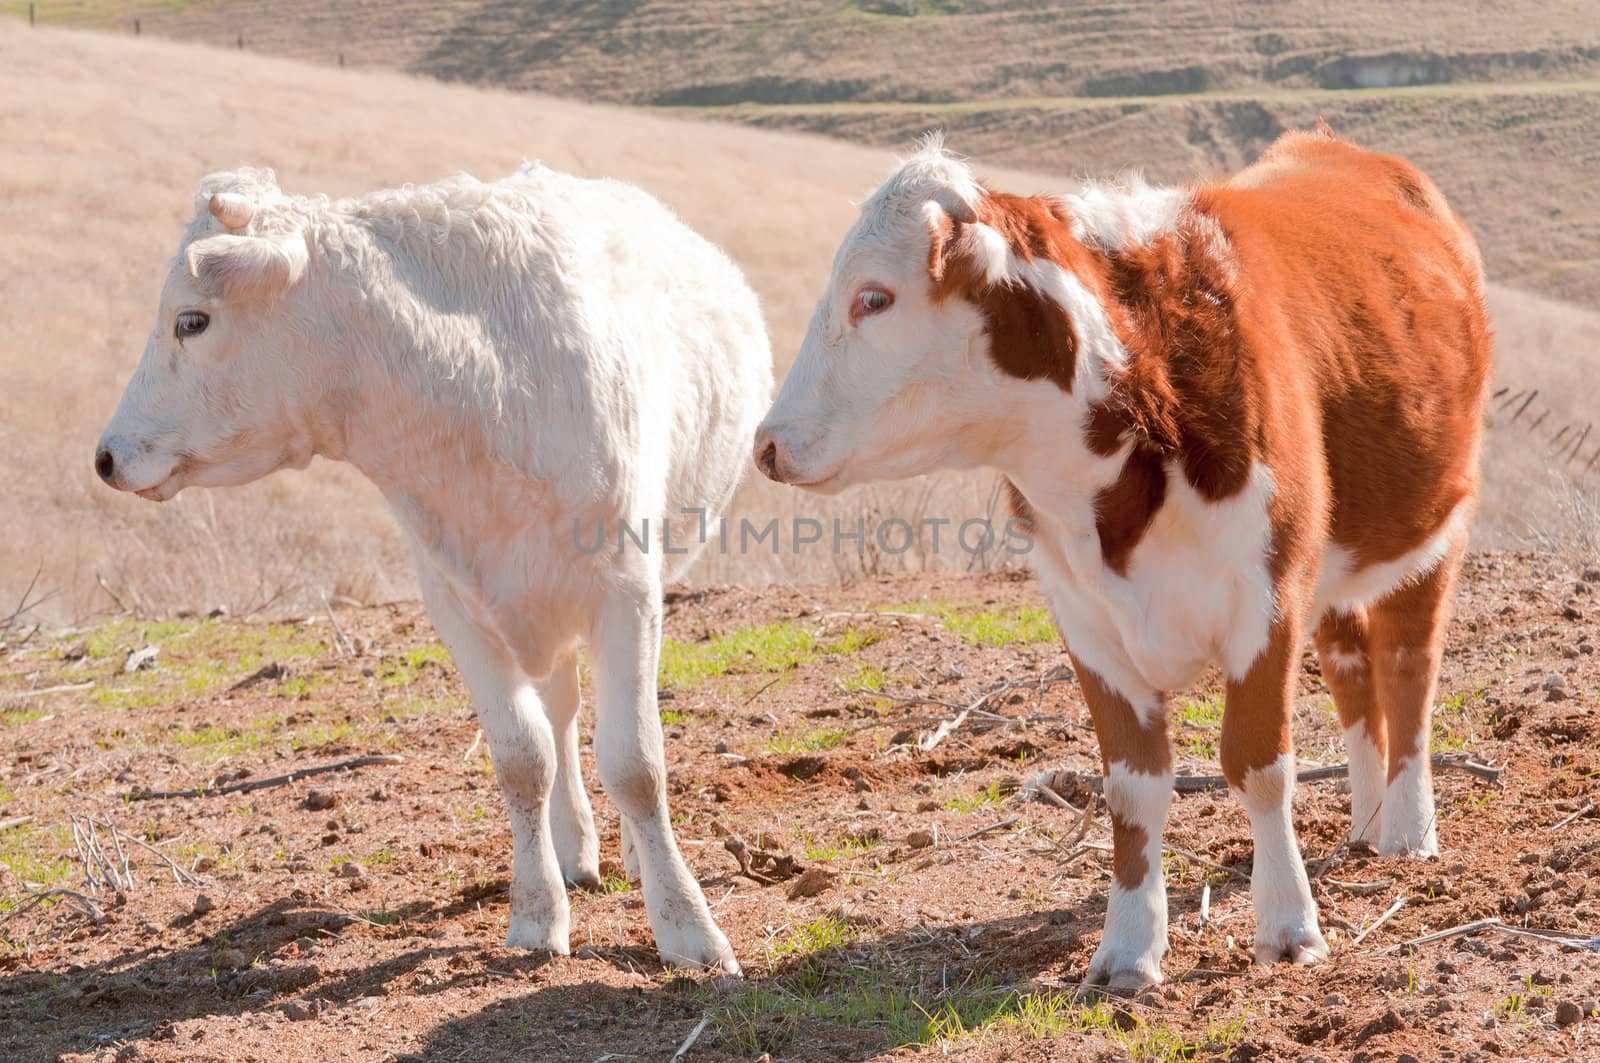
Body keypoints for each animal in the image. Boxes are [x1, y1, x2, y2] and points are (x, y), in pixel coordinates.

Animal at [755, 130, 1491, 986]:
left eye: (874, 297)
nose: (767, 444)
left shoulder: (1267, 597)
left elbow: (1258, 762)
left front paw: (1287, 925)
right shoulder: (1088, 621)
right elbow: (1134, 786)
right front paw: (1129, 948)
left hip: (1433, 527)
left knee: (1408, 665)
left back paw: (1408, 829)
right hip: (1333, 565)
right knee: (1352, 672)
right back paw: (1368, 822)